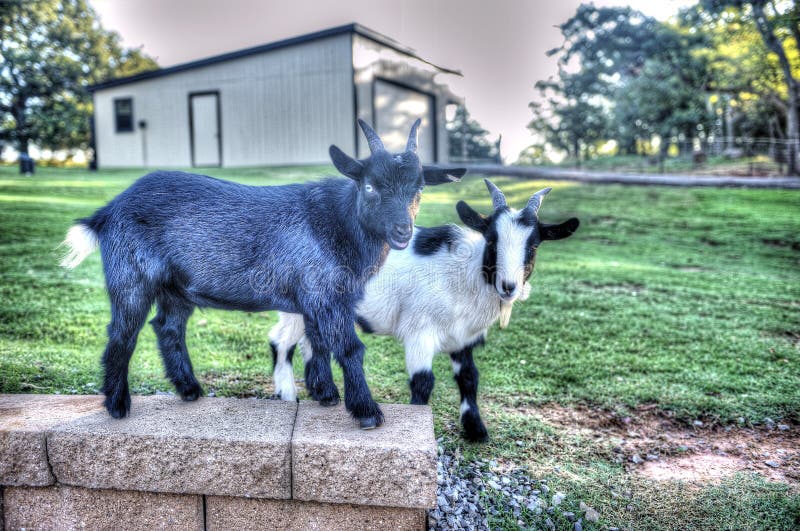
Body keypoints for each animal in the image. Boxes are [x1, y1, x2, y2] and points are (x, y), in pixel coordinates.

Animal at [62, 120, 466, 428]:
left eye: (419, 188)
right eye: (369, 185)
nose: (402, 231)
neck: (339, 223)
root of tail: (108, 211)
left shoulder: (316, 298)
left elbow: (318, 343)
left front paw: (326, 395)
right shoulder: (326, 294)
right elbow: (349, 348)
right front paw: (366, 412)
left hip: (176, 288)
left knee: (167, 328)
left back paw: (189, 389)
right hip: (131, 277)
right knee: (122, 334)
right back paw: (117, 405)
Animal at [272, 181, 580, 442]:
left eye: (534, 245)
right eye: (492, 240)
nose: (508, 287)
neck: (463, 275)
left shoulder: (463, 337)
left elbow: (469, 378)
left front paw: (476, 430)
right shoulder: (420, 331)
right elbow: (422, 381)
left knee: (312, 342)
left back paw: (324, 393)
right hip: (295, 305)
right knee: (281, 341)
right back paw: (286, 395)